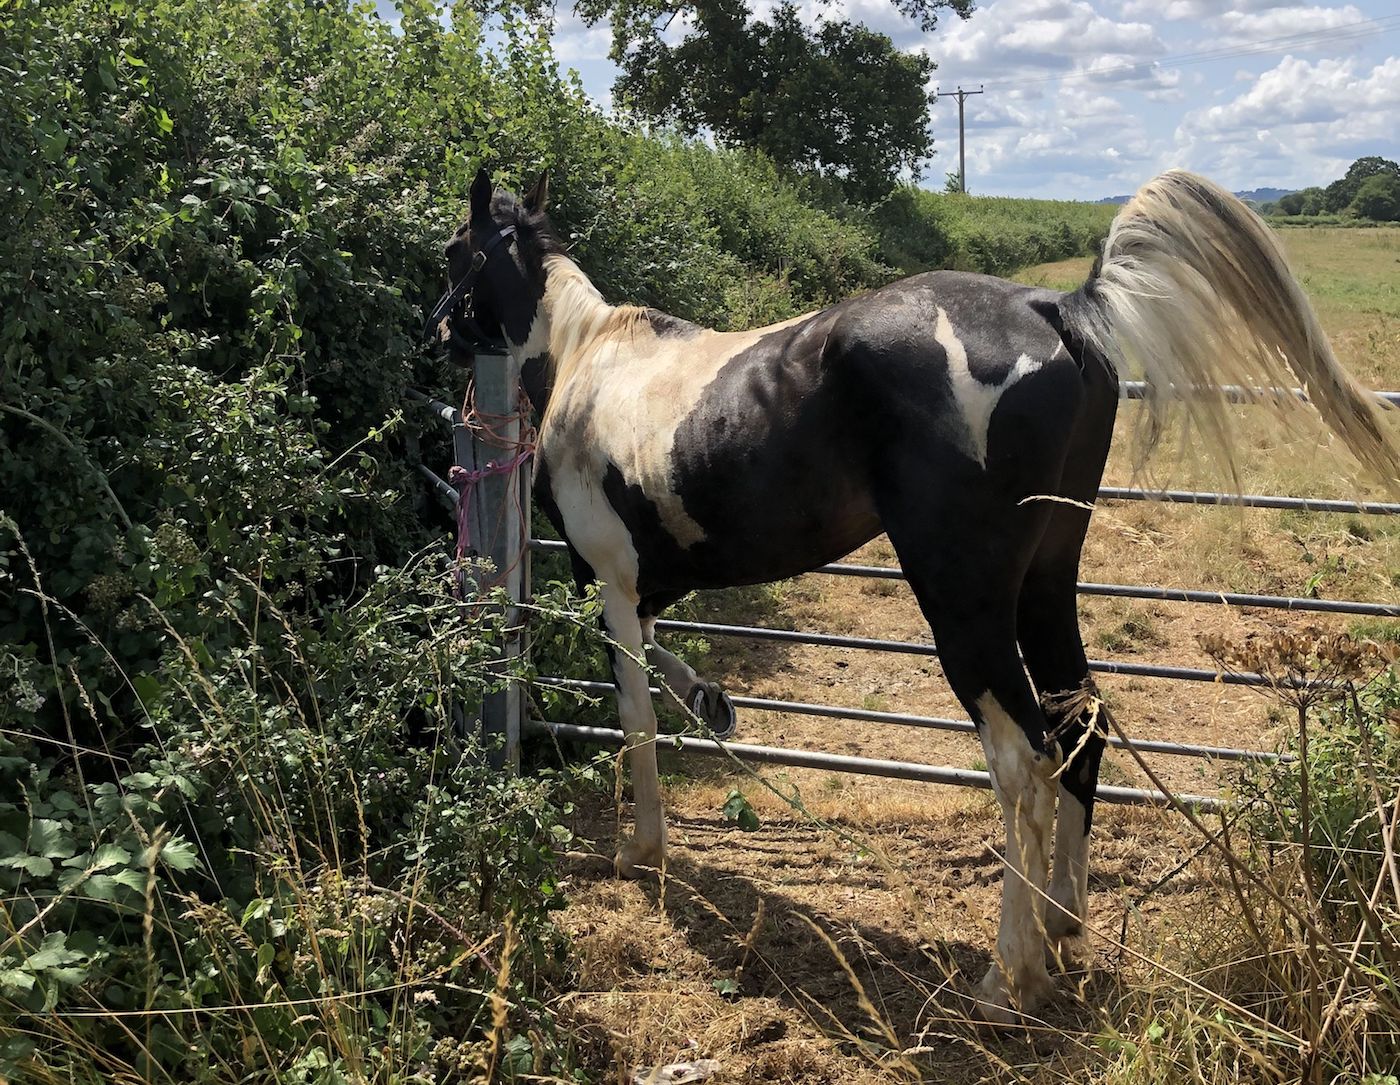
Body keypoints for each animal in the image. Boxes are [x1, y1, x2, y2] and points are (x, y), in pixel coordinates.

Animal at [433, 166, 1398, 1023]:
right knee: (1080, 724)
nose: (440, 335)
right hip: (1047, 581)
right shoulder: (653, 589)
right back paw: (1063, 922)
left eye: (453, 254)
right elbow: (669, 678)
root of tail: (1052, 309)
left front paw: (641, 848)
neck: (587, 359)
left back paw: (1009, 982)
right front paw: (712, 701)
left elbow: (633, 714)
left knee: (1022, 760)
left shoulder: (612, 580)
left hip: (964, 606)